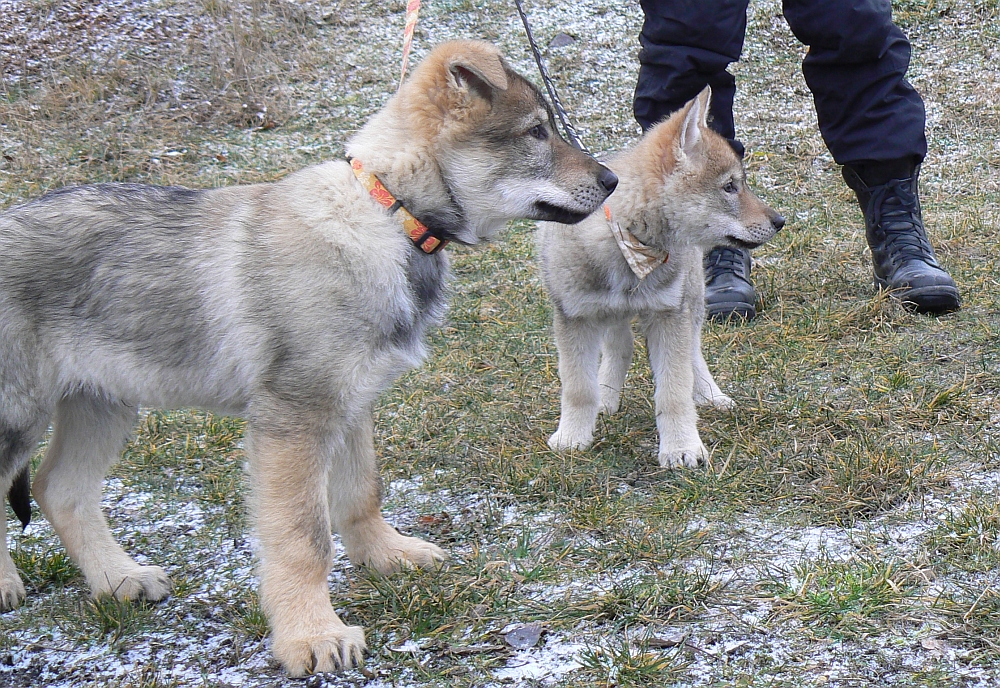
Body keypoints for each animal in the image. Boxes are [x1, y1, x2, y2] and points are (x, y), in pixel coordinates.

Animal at [0, 40, 616, 676]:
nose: (612, 179)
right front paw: (311, 635)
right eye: (536, 131)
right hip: (21, 412)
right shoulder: (294, 420)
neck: (389, 216)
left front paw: (385, 556)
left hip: (103, 401)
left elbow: (361, 494)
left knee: (59, 488)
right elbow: (304, 538)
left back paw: (119, 579)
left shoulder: (351, 402)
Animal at [540, 88, 780, 468]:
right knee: (621, 347)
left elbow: (674, 391)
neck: (629, 243)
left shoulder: (670, 316)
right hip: (612, 314)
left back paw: (710, 395)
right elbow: (578, 388)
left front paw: (681, 447)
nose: (780, 220)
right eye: (730, 186)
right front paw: (573, 437)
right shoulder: (575, 318)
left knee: (693, 354)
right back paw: (607, 397)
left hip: (691, 303)